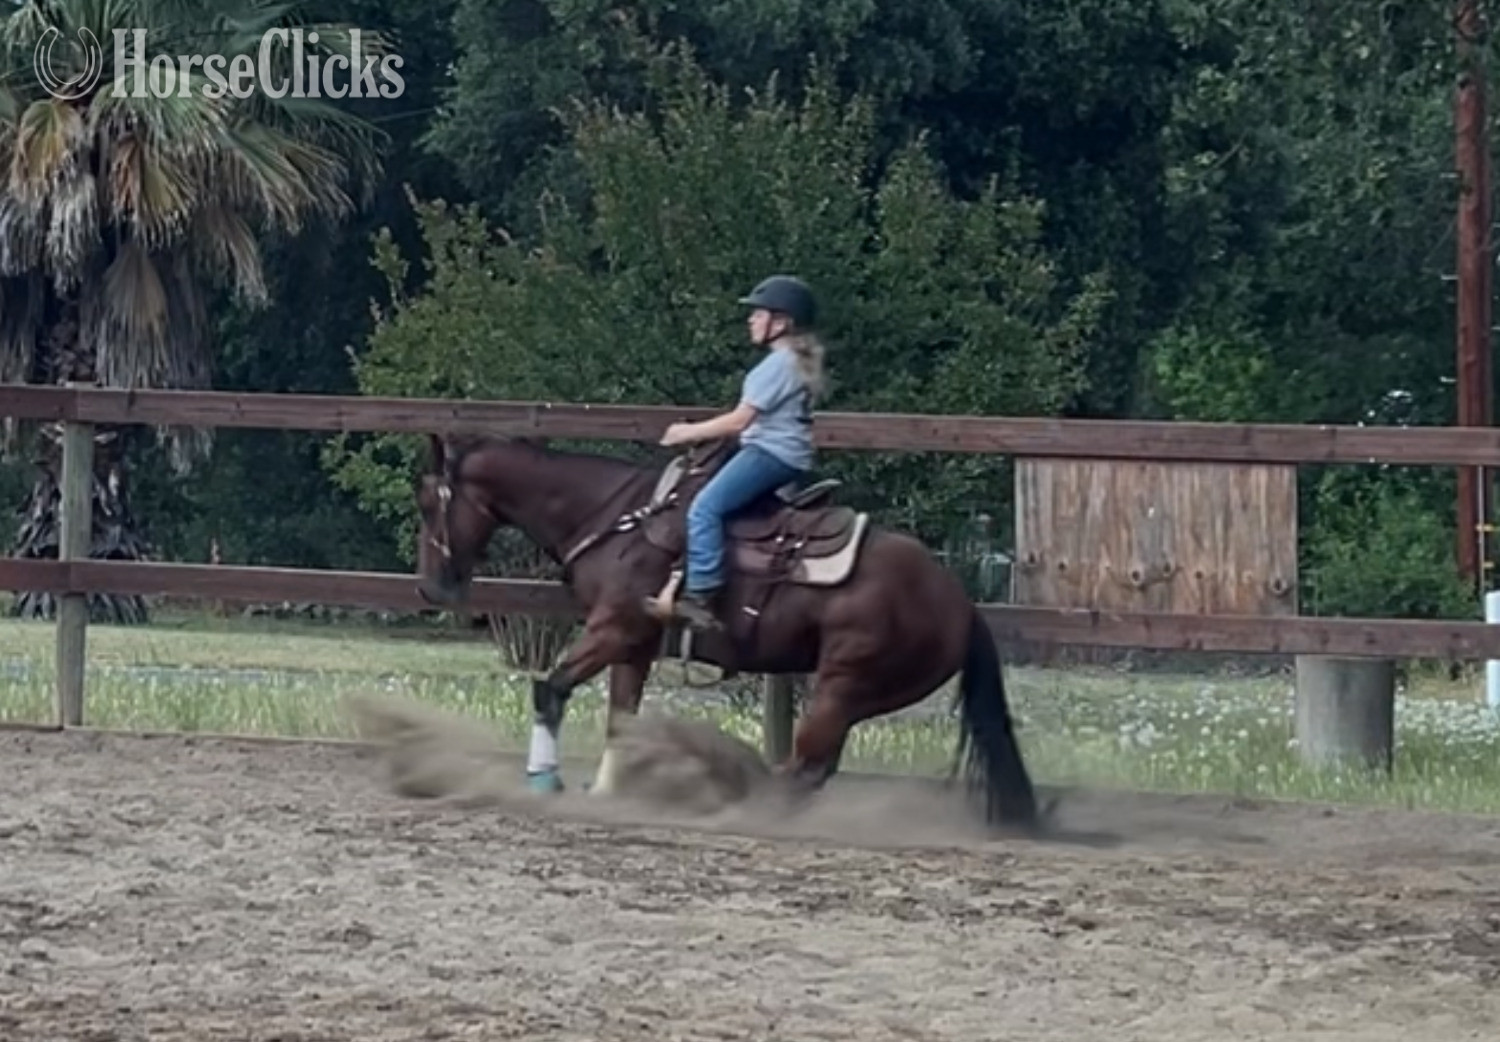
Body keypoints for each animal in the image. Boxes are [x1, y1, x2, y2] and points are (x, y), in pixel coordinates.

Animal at [414, 432, 1045, 832]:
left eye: (426, 503)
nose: (431, 589)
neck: (618, 523)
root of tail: (959, 604)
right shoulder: (636, 645)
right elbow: (621, 720)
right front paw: (609, 794)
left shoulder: (615, 628)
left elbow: (551, 687)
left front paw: (544, 781)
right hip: (852, 696)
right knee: (814, 770)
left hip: (844, 683)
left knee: (803, 767)